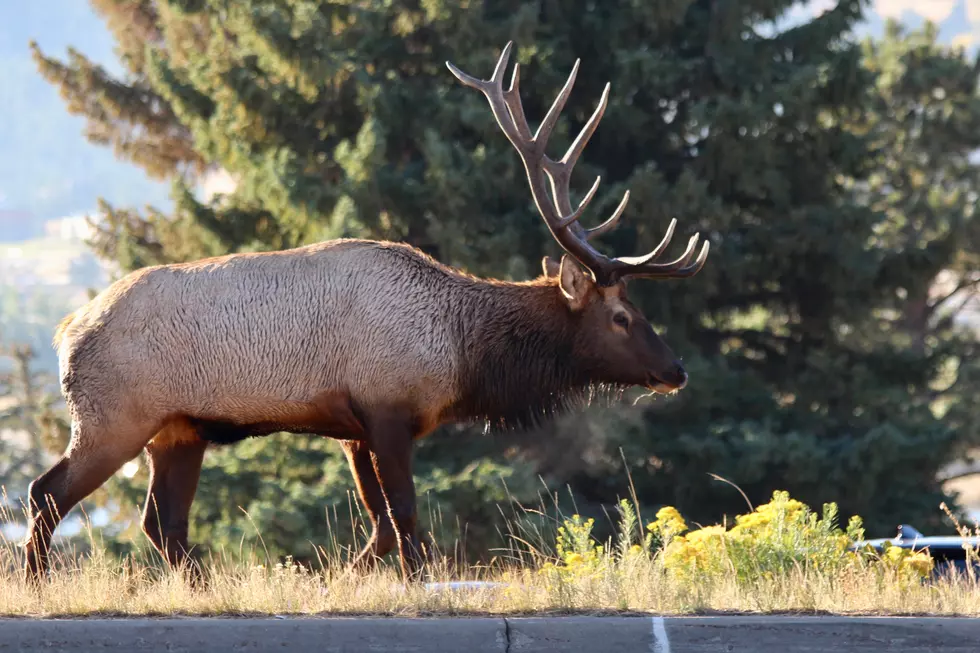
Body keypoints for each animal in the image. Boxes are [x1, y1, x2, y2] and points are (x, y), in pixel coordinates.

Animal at [24, 43, 712, 584]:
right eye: (621, 316)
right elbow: (404, 514)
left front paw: (341, 579)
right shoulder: (385, 409)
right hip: (113, 418)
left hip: (178, 430)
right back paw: (38, 582)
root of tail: (63, 335)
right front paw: (416, 582)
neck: (460, 353)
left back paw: (200, 586)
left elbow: (379, 527)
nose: (676, 370)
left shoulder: (354, 428)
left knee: (160, 521)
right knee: (47, 492)